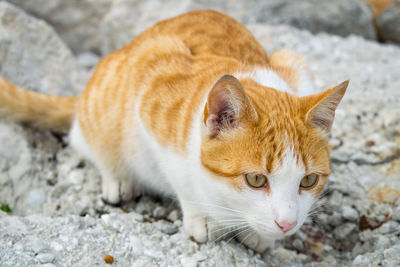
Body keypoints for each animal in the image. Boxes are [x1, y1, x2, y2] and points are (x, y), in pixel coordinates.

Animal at [0, 10, 348, 253]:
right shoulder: (152, 76)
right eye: (256, 179)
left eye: (309, 180)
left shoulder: (294, 63)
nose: (287, 224)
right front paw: (203, 218)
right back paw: (118, 177)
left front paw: (258, 234)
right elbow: (182, 179)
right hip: (102, 106)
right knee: (84, 140)